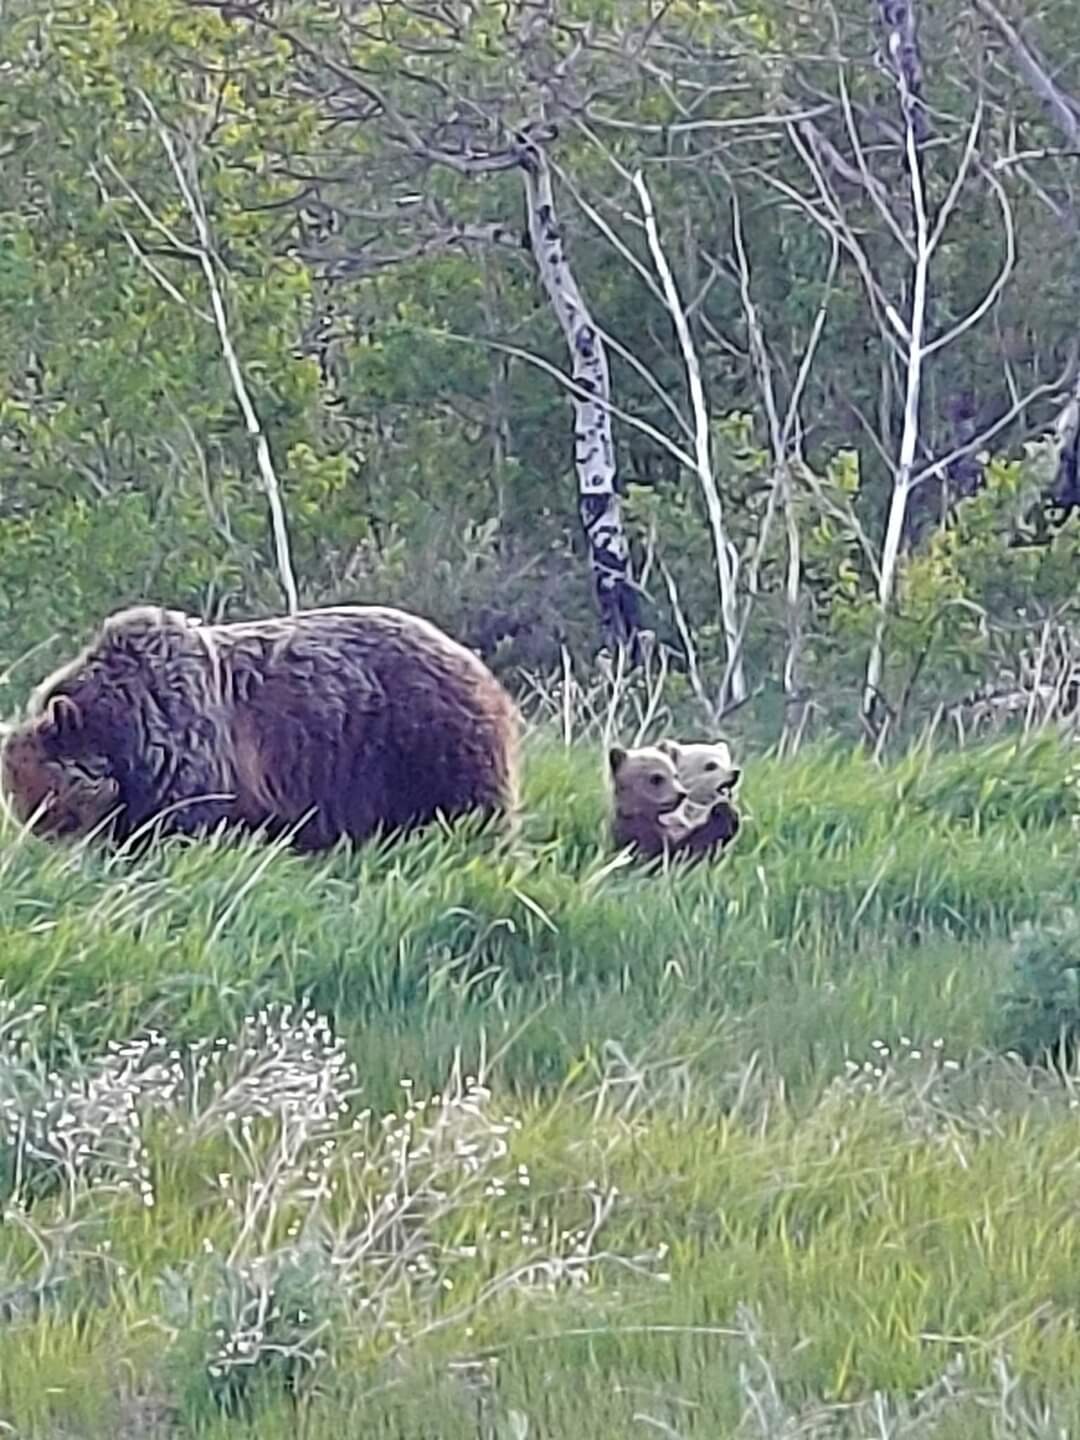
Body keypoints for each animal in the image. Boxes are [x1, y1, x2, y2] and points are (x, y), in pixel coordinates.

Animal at [1, 603, 521, 852]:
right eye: (20, 799)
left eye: (50, 799)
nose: (46, 841)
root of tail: (477, 664)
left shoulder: (191, 760)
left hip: (422, 744)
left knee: (470, 809)